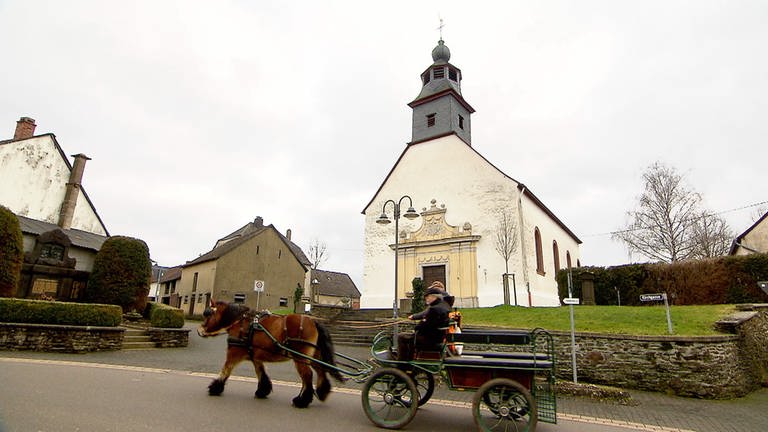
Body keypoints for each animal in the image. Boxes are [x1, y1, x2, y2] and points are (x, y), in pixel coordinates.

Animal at [198, 300, 344, 408]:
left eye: (208, 314)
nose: (199, 330)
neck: (241, 323)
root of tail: (314, 321)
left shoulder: (233, 354)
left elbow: (225, 371)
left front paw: (215, 388)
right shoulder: (255, 357)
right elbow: (260, 372)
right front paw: (263, 390)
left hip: (300, 357)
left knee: (307, 376)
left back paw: (302, 401)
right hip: (313, 356)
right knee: (320, 371)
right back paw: (321, 392)